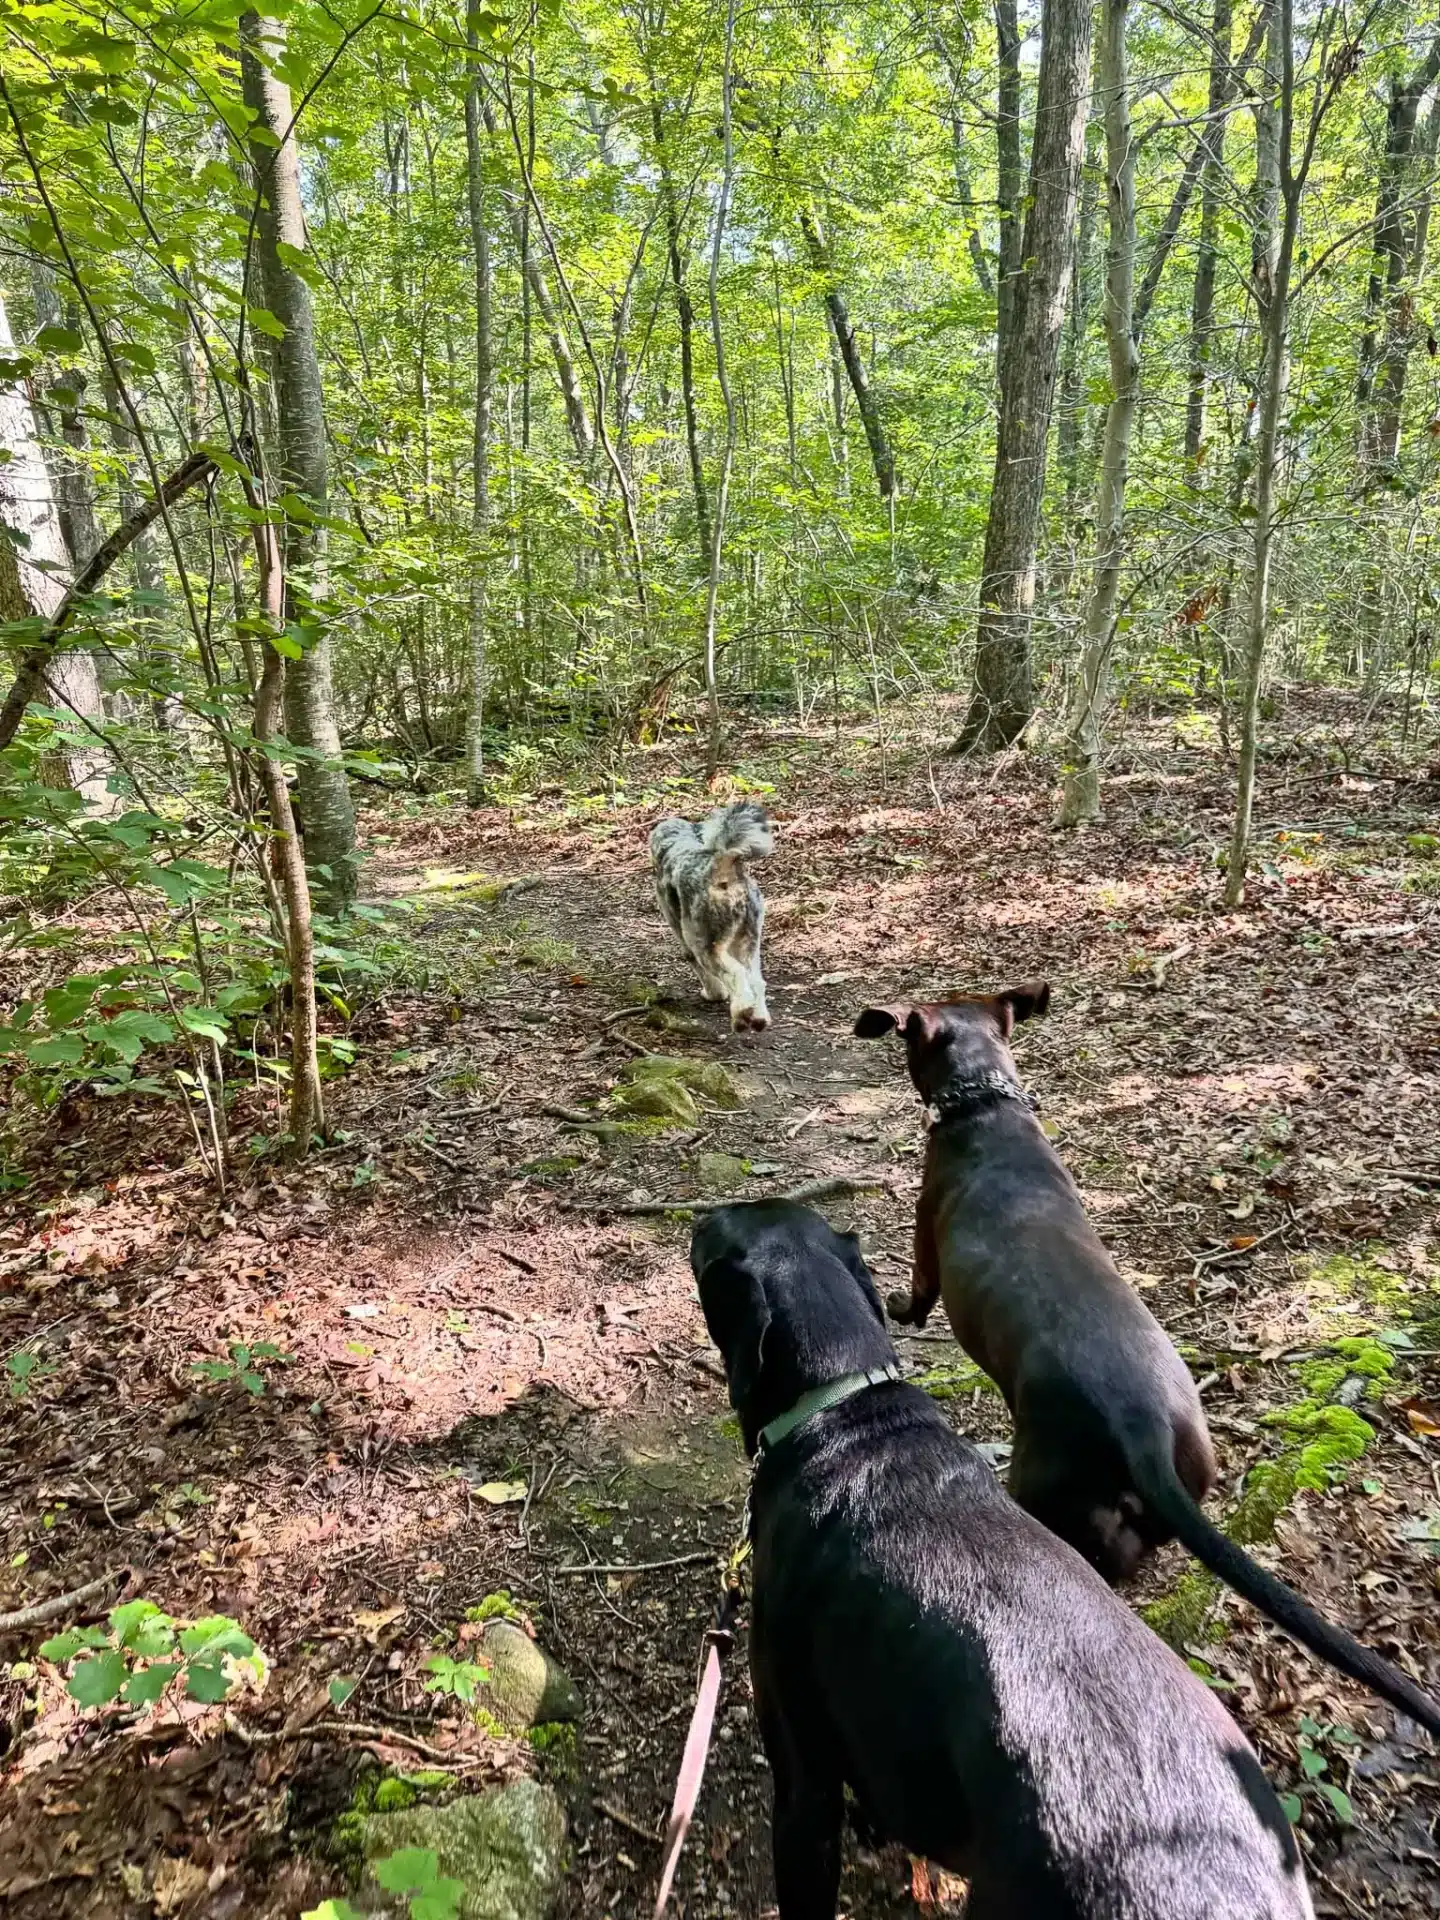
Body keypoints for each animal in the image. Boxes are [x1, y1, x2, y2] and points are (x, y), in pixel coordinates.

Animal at [648, 802, 771, 1029]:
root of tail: (722, 868)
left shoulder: (685, 939)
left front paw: (714, 994)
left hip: (704, 943)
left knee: (735, 972)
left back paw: (741, 1014)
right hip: (749, 940)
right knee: (755, 980)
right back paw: (758, 1017)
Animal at [852, 990, 1440, 1743]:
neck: (985, 1107)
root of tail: (1142, 1425)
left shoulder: (925, 1238)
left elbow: (917, 1291)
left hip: (1043, 1487)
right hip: (1179, 1481)